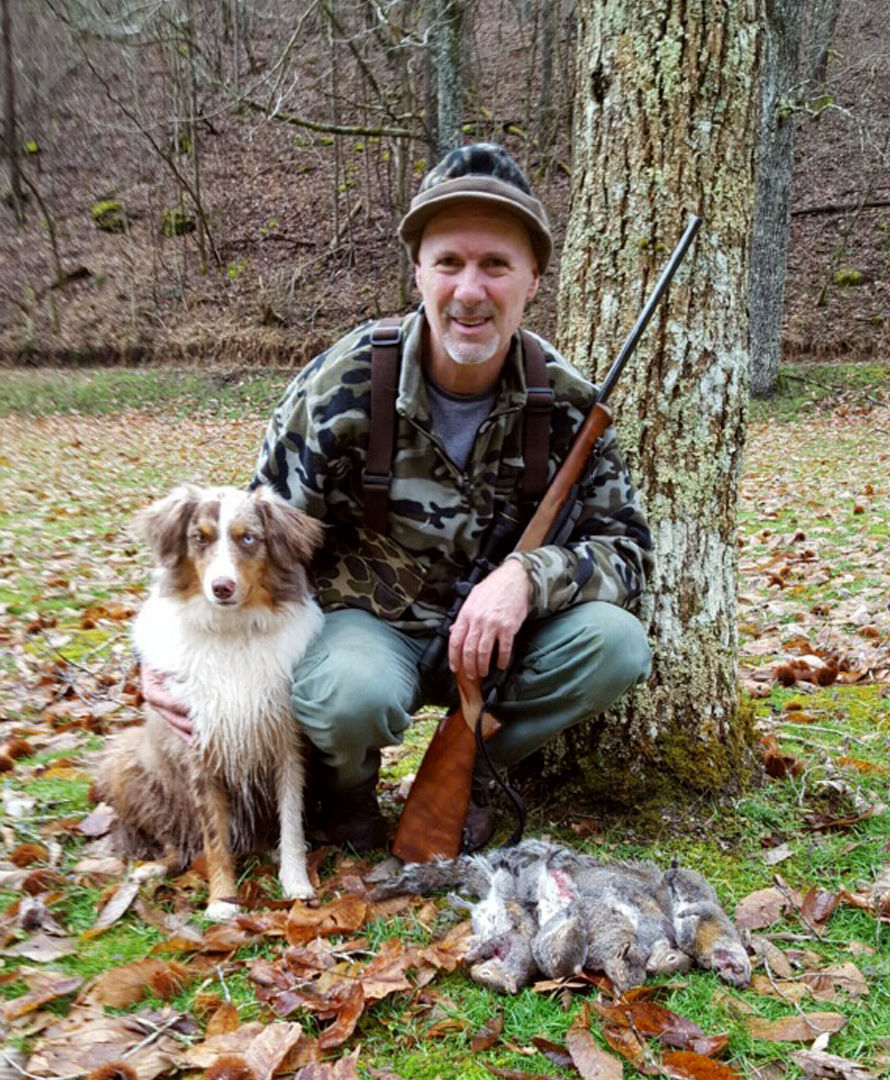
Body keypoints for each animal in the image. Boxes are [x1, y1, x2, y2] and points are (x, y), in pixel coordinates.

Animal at [94, 486, 324, 915]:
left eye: (248, 538)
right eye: (198, 538)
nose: (222, 587)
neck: (233, 632)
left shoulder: (287, 743)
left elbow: (291, 820)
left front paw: (296, 881)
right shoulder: (197, 746)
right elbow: (214, 837)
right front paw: (222, 900)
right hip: (129, 760)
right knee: (176, 839)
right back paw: (154, 868)